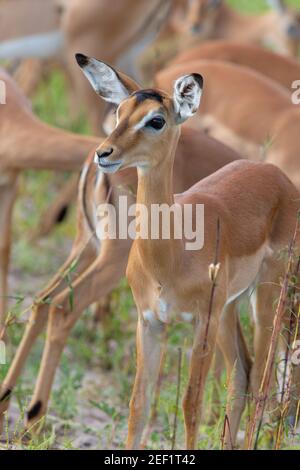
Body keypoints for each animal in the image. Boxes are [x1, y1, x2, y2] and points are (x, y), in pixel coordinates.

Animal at [75, 53, 300, 450]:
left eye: (156, 120)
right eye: (120, 112)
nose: (104, 153)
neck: (170, 257)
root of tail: (277, 175)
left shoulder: (200, 323)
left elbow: (190, 403)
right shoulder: (149, 322)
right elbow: (138, 404)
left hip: (265, 298)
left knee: (263, 379)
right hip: (229, 308)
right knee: (242, 374)